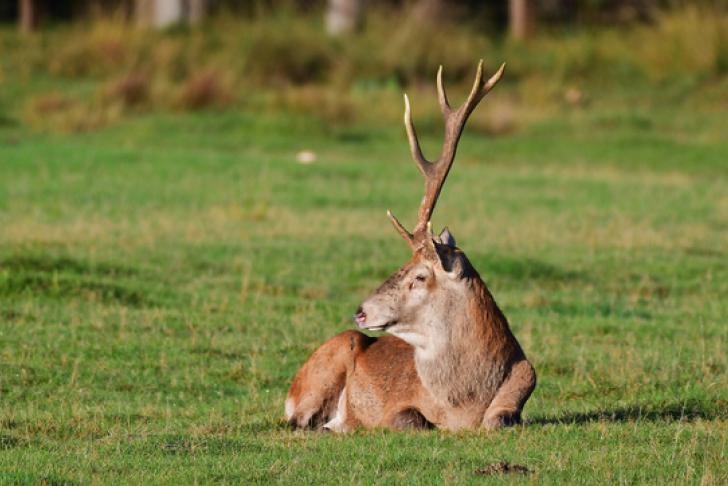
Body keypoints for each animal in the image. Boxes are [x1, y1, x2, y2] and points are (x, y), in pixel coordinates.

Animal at [284, 58, 536, 430]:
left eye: (419, 276)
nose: (360, 311)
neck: (464, 408)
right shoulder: (398, 407)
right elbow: (410, 418)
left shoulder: (524, 385)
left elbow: (499, 419)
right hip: (328, 360)